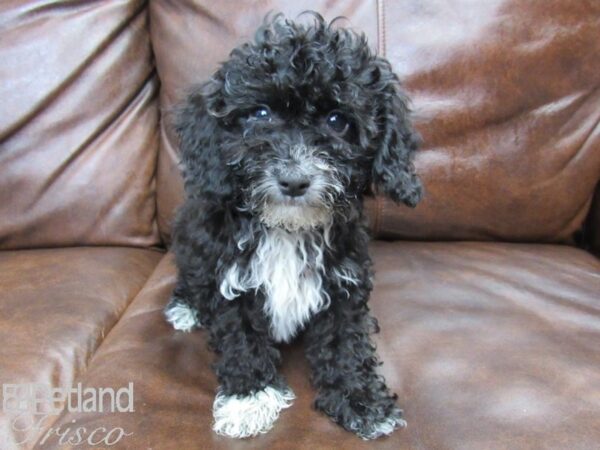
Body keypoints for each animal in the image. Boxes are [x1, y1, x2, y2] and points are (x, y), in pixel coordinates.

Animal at [164, 13, 422, 440]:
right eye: (260, 114)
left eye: (338, 121)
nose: (294, 180)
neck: (288, 228)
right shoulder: (231, 279)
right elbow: (241, 336)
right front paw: (248, 398)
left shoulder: (343, 280)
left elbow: (344, 341)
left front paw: (360, 399)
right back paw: (185, 307)